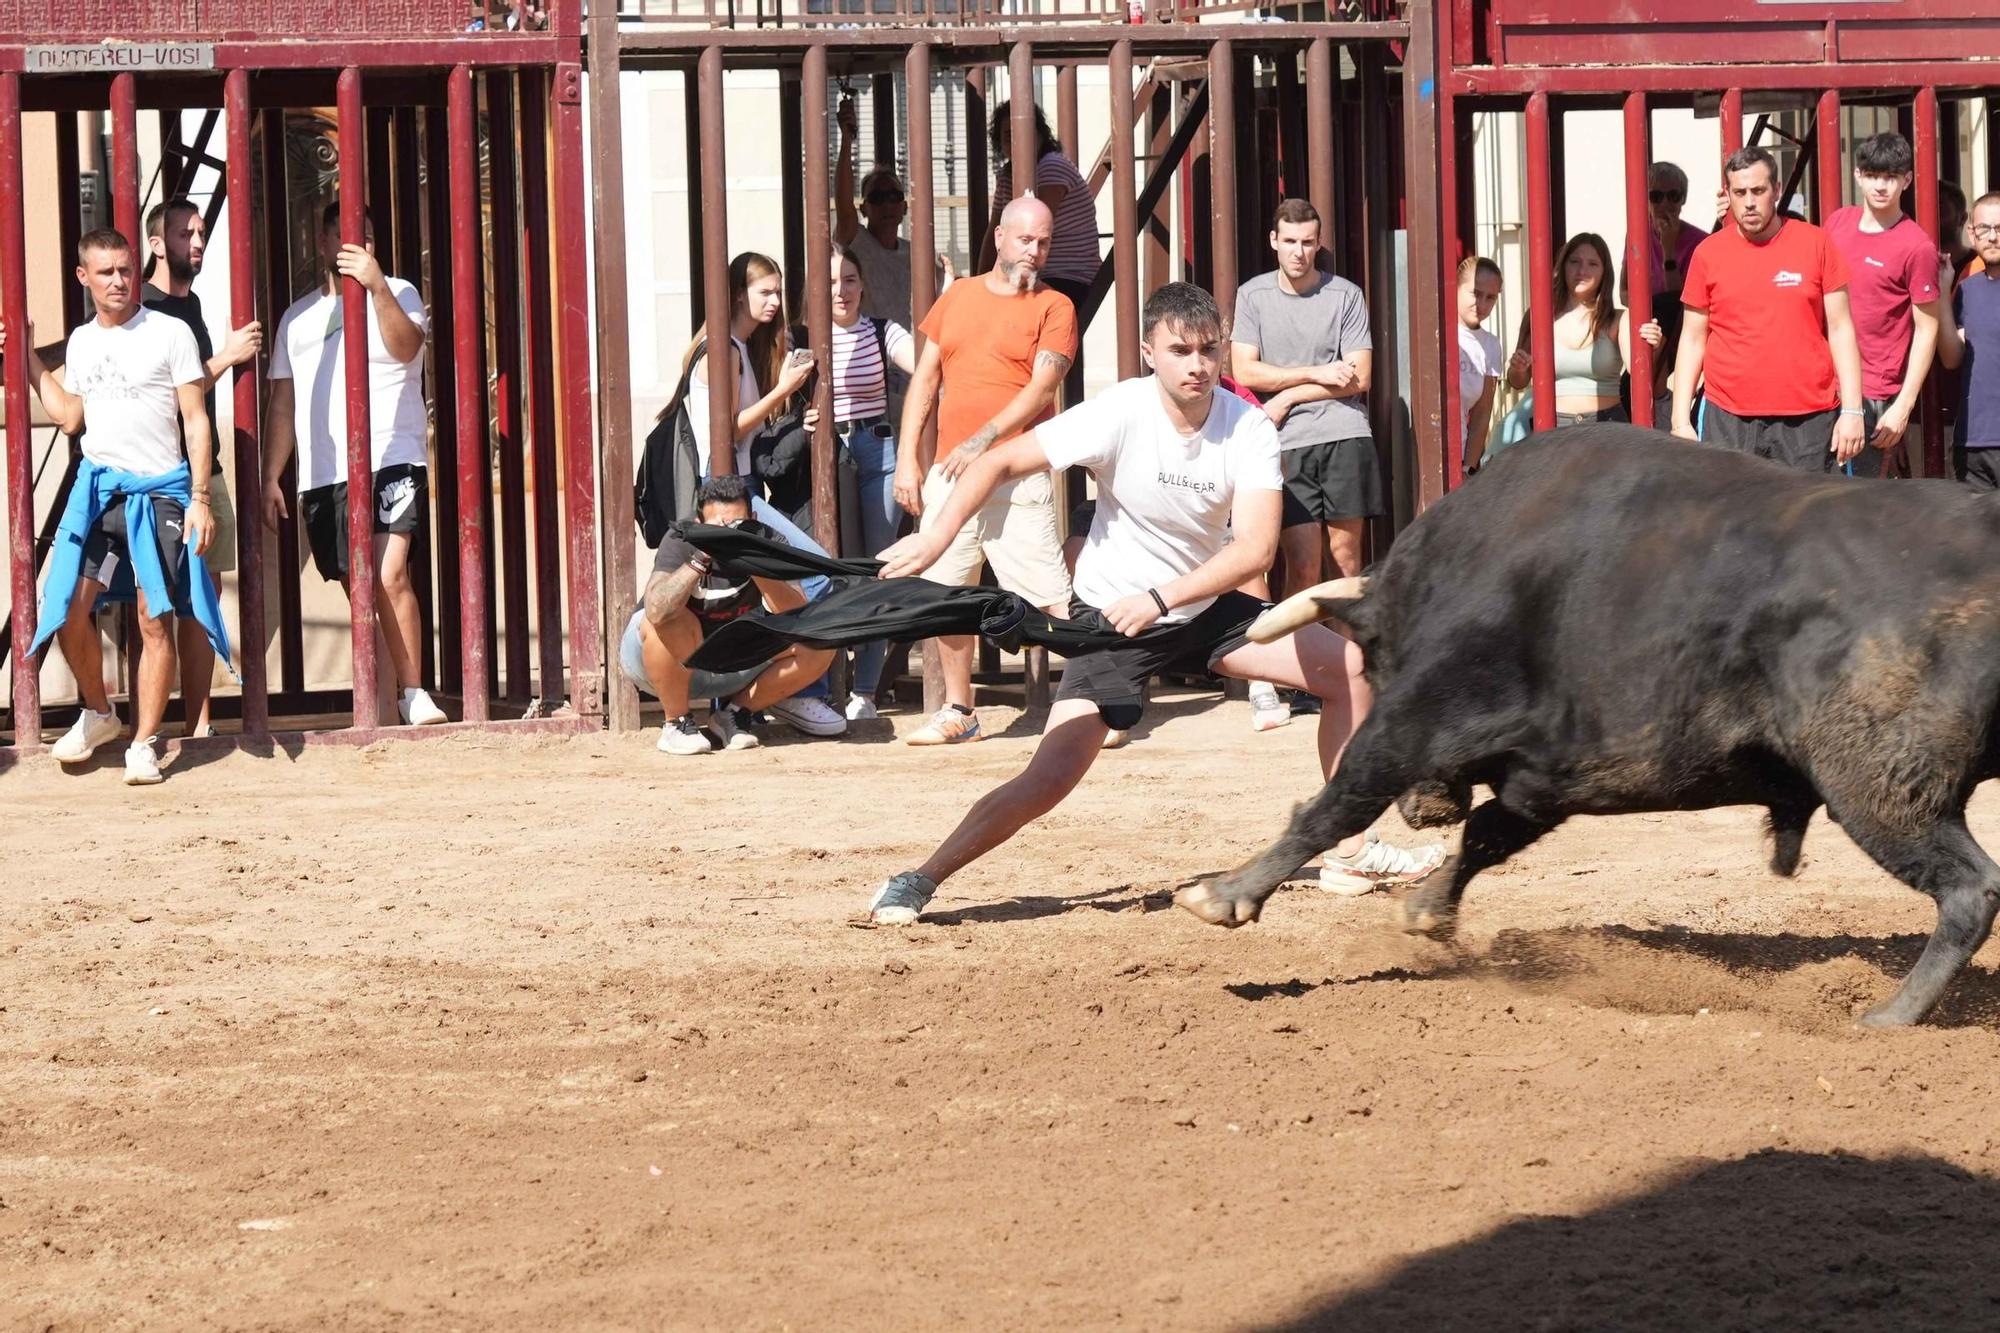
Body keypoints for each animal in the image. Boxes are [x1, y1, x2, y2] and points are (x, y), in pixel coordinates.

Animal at [1168, 420, 2000, 1020]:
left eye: (1373, 666)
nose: (1427, 807)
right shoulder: (1547, 775)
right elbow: (1487, 834)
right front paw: (1429, 910)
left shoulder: (1418, 716)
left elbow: (1339, 800)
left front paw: (1222, 894)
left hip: (1880, 789)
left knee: (1971, 890)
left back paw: (1887, 1016)